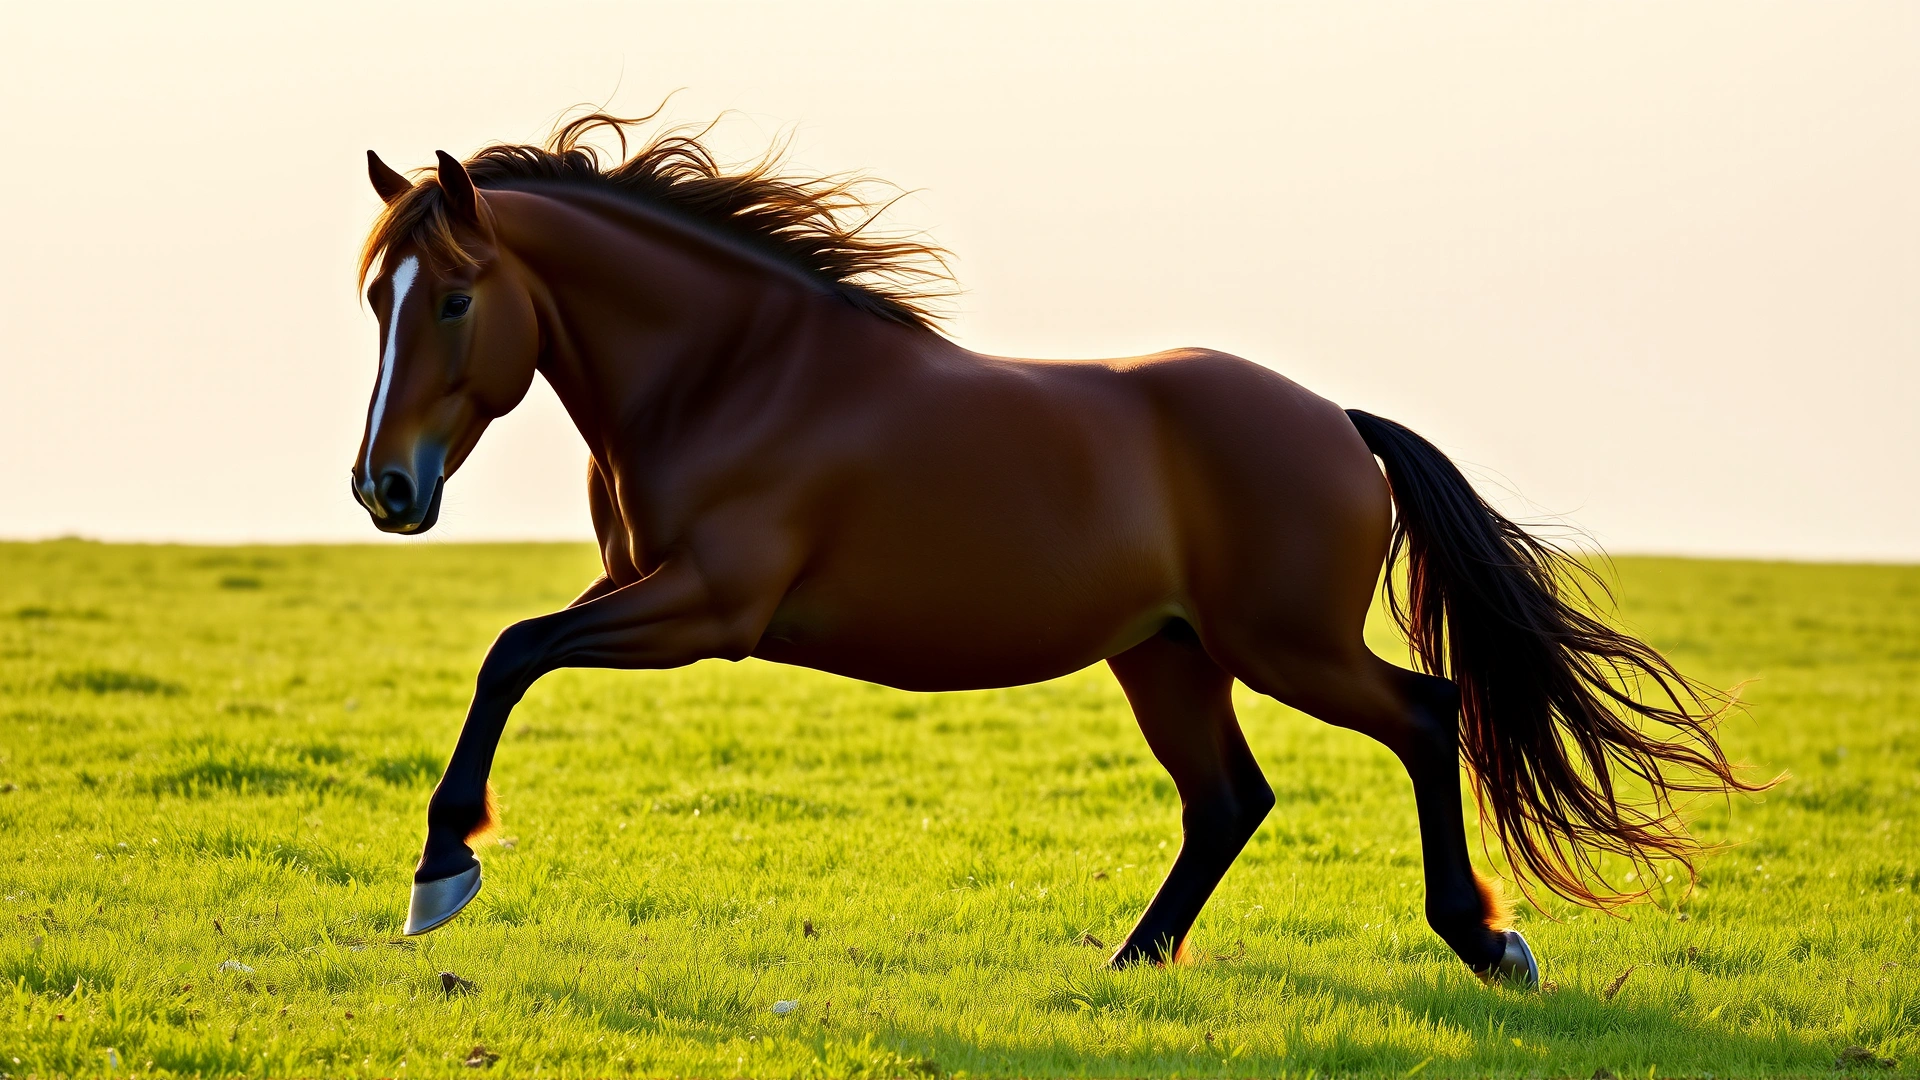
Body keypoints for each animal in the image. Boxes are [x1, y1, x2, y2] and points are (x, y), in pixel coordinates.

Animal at [350, 112, 1759, 987]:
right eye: (376, 298)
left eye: (457, 297)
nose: (383, 489)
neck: (737, 375)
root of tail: (1334, 421)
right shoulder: (642, 588)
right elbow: (516, 653)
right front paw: (440, 865)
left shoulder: (703, 611)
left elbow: (511, 651)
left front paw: (441, 871)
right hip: (1168, 657)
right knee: (1231, 797)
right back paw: (1135, 961)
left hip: (1286, 647)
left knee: (1425, 711)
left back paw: (1484, 942)